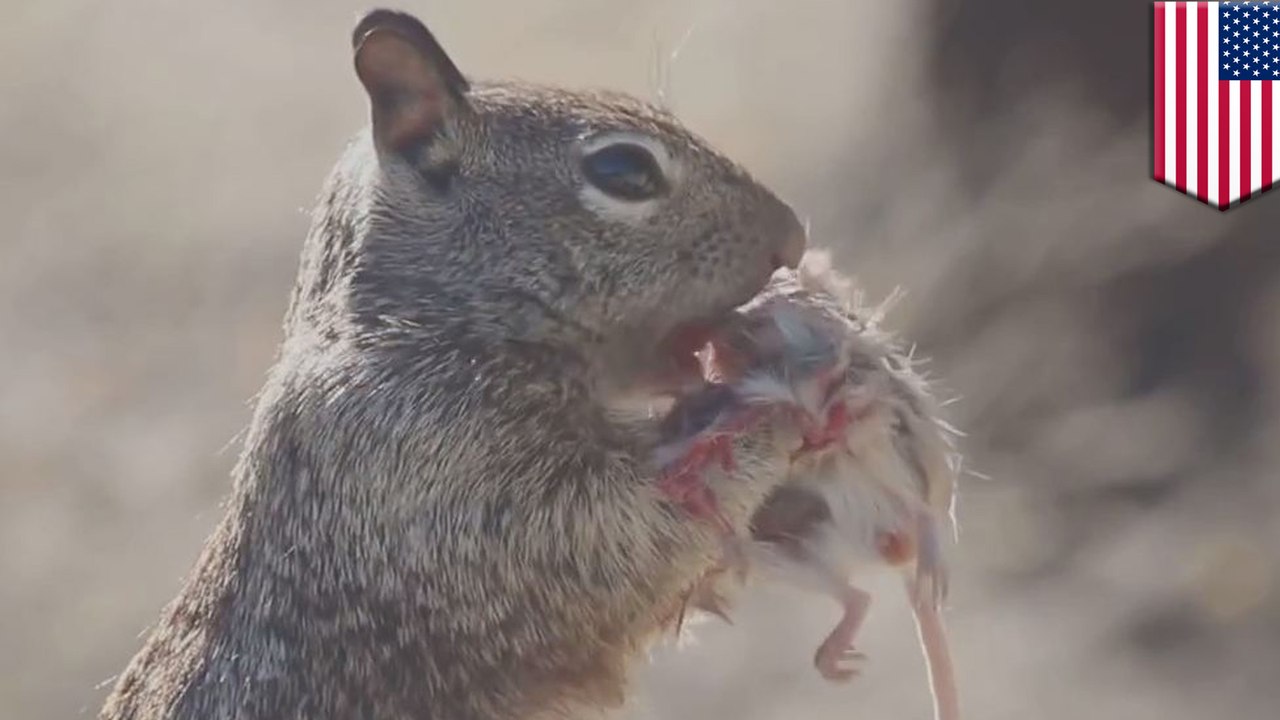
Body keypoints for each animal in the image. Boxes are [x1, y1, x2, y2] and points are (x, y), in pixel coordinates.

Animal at [99, 8, 821, 720]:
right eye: (623, 170)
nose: (794, 237)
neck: (421, 321)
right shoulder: (443, 478)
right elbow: (618, 536)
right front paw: (779, 415)